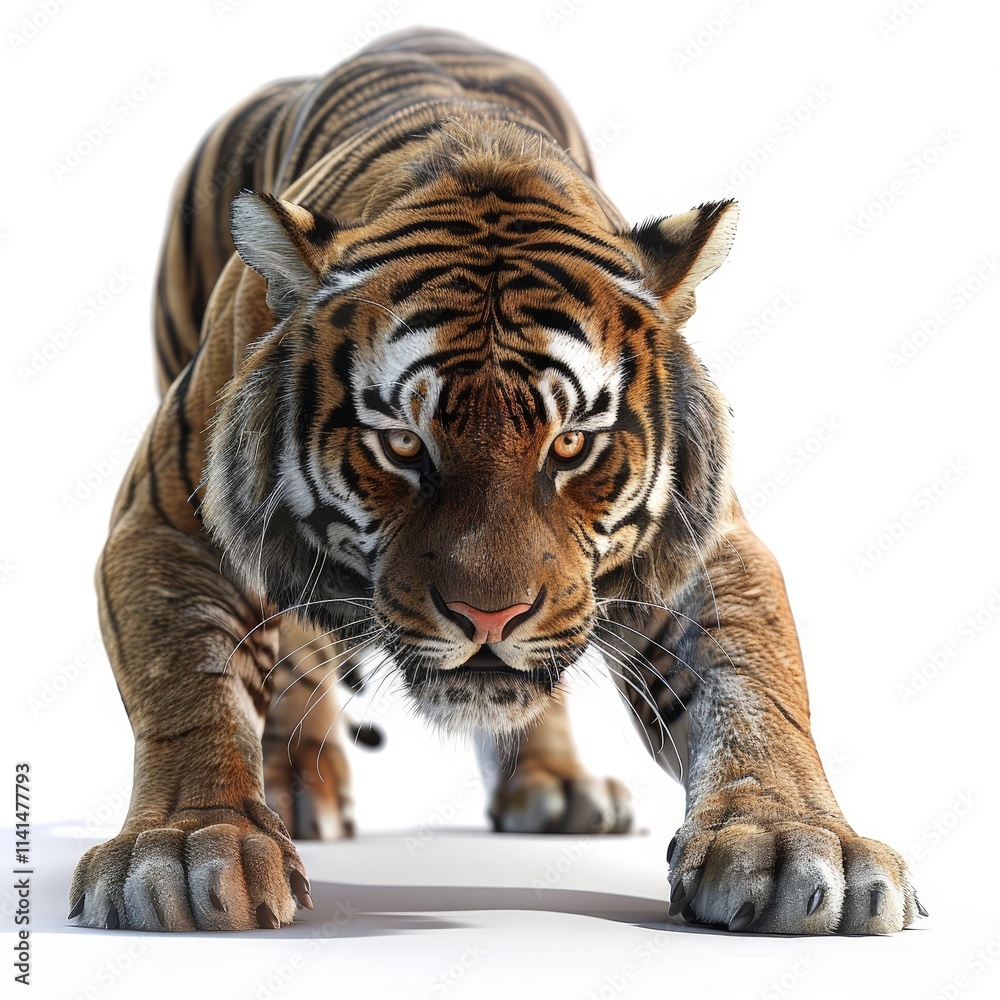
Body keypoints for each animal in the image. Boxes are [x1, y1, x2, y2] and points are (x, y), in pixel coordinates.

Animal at [69, 27, 924, 934]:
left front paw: (793, 840)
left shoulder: (699, 544)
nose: (490, 617)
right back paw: (299, 783)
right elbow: (192, 688)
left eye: (572, 444)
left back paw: (555, 788)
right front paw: (191, 845)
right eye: (402, 445)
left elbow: (756, 682)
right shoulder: (171, 521)